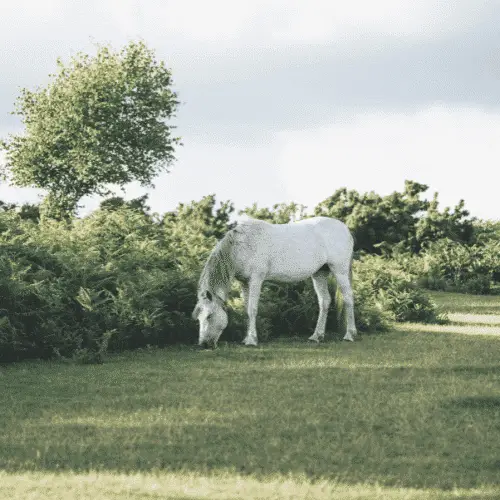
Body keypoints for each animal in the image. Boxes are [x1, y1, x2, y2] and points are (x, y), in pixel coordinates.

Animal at [191, 217, 356, 350]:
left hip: (339, 270)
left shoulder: (256, 279)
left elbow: (252, 309)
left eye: (209, 316)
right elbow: (246, 310)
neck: (242, 246)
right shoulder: (244, 282)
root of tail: (345, 228)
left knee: (348, 299)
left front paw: (251, 340)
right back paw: (317, 336)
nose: (204, 345)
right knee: (324, 301)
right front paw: (246, 338)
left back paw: (350, 335)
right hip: (319, 273)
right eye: (198, 318)